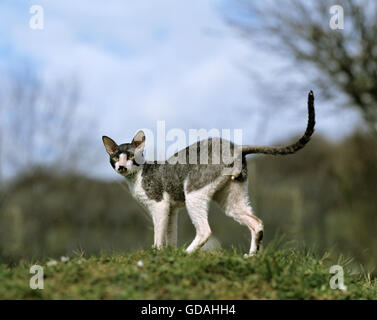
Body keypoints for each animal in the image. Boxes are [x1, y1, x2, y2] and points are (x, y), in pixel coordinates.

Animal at [100, 90, 314, 258]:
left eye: (130, 156)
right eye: (115, 157)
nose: (121, 166)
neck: (136, 178)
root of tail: (237, 147)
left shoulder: (159, 205)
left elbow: (159, 235)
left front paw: (158, 253)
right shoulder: (172, 208)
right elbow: (171, 235)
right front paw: (169, 253)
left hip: (194, 193)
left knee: (205, 230)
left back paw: (187, 254)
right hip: (231, 198)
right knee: (256, 222)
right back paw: (251, 256)